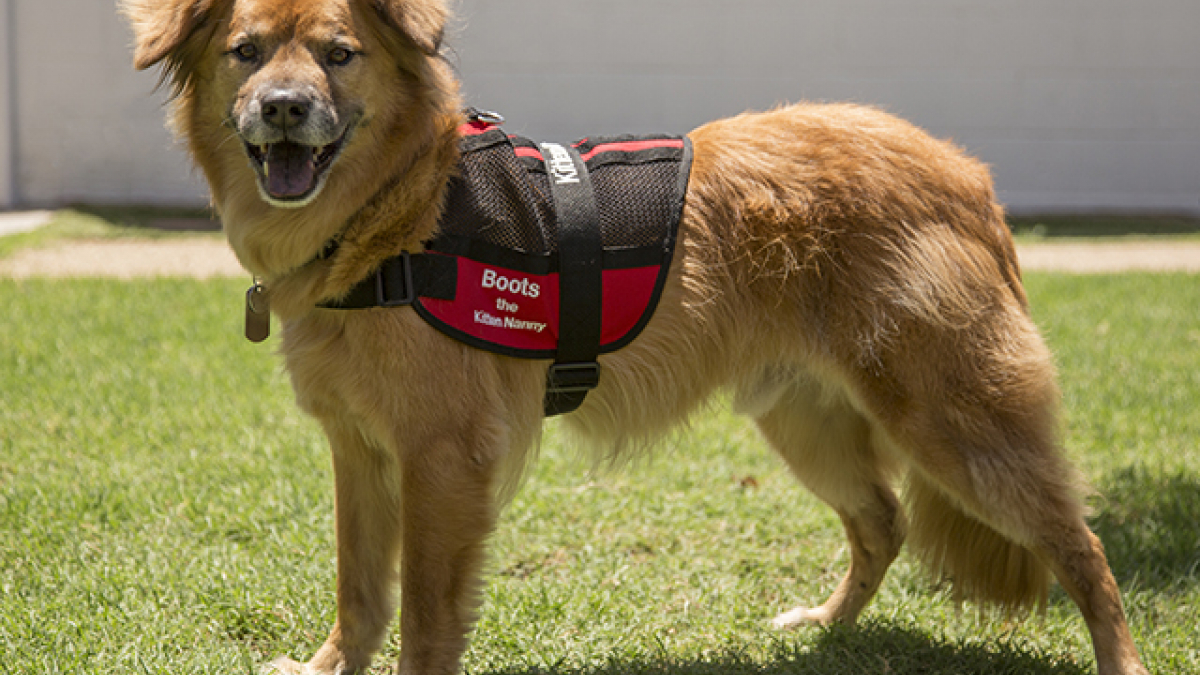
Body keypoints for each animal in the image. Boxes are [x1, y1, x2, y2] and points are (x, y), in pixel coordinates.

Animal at [126, 1, 1147, 672]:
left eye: (340, 55)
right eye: (246, 51)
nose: (283, 107)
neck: (399, 213)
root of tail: (965, 172)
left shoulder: (443, 460)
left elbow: (421, 614)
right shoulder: (361, 449)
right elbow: (360, 589)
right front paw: (328, 666)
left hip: (956, 421)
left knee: (1085, 550)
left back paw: (1118, 657)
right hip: (807, 418)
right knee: (883, 520)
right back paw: (827, 626)